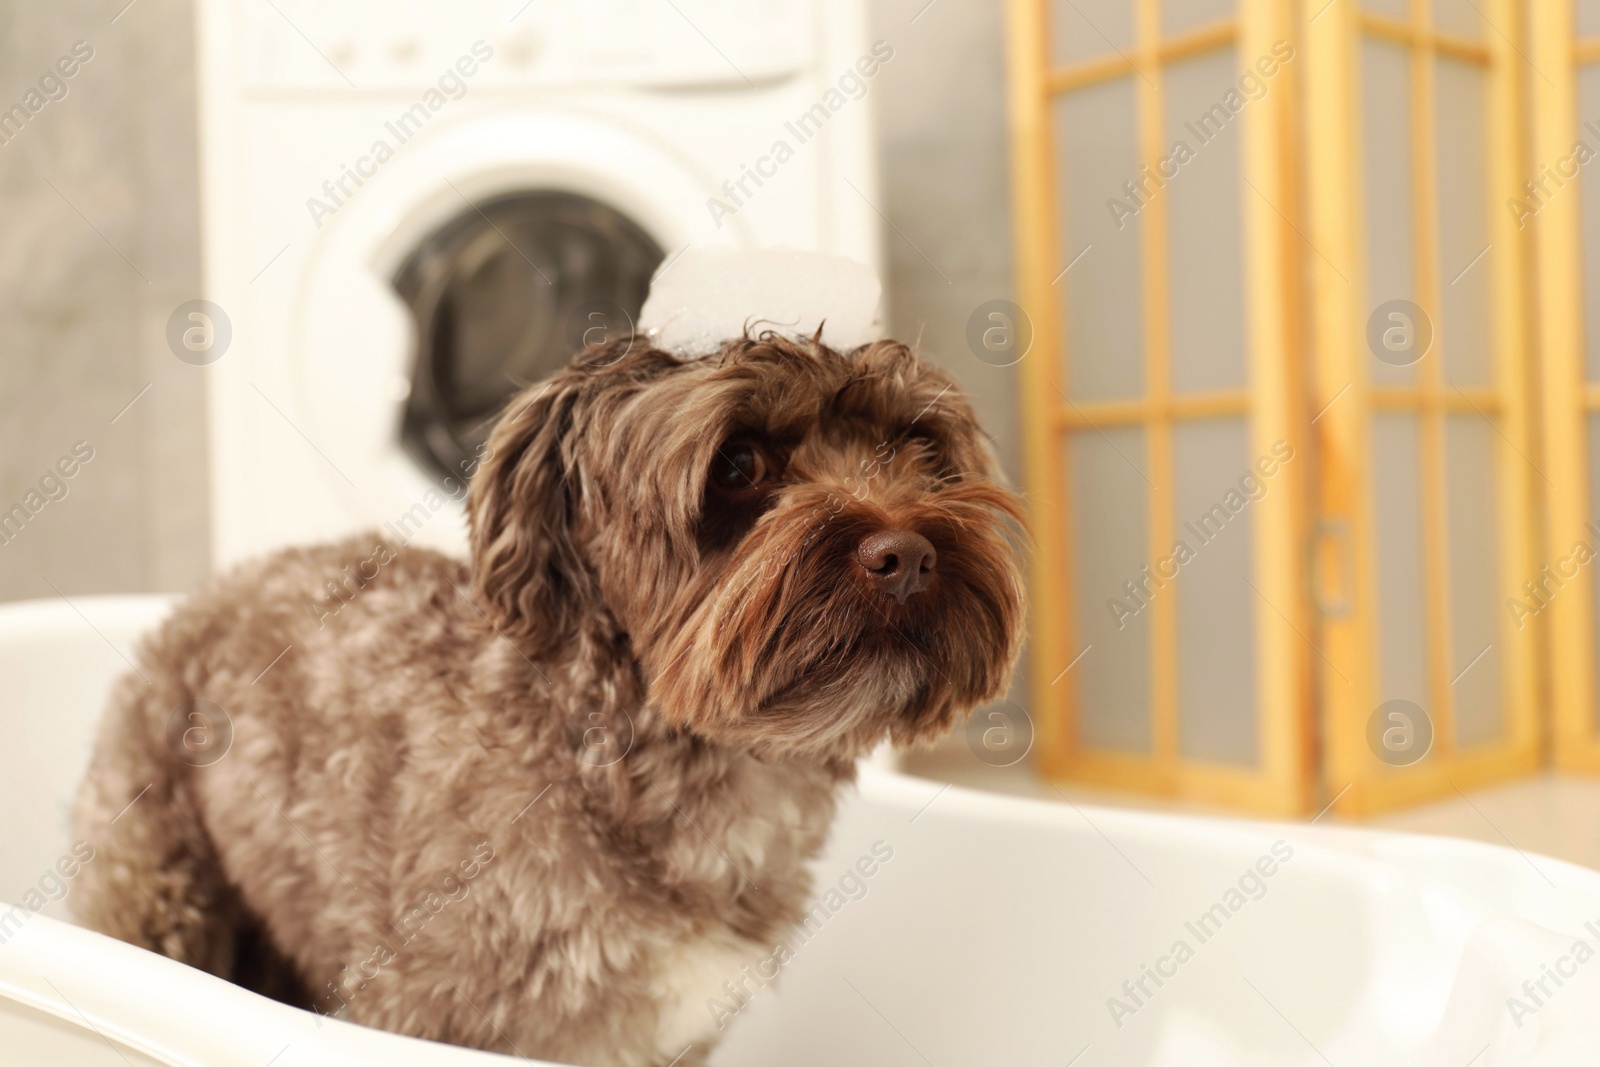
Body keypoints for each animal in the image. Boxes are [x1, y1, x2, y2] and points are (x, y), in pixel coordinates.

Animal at [72, 334, 1024, 1067]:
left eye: (919, 449)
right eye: (739, 463)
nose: (906, 553)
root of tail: (205, 593)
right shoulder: (422, 1009)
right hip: (156, 878)